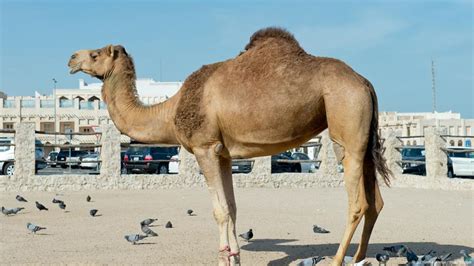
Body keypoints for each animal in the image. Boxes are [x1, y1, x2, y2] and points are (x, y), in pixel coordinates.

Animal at [67, 27, 392, 266]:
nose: (71, 58)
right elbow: (233, 207)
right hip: (363, 134)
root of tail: (365, 83)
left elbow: (219, 210)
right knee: (375, 201)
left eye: (95, 54)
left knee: (357, 201)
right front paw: (234, 256)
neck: (170, 111)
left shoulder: (205, 147)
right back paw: (360, 258)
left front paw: (225, 256)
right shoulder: (223, 154)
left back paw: (338, 259)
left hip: (345, 118)